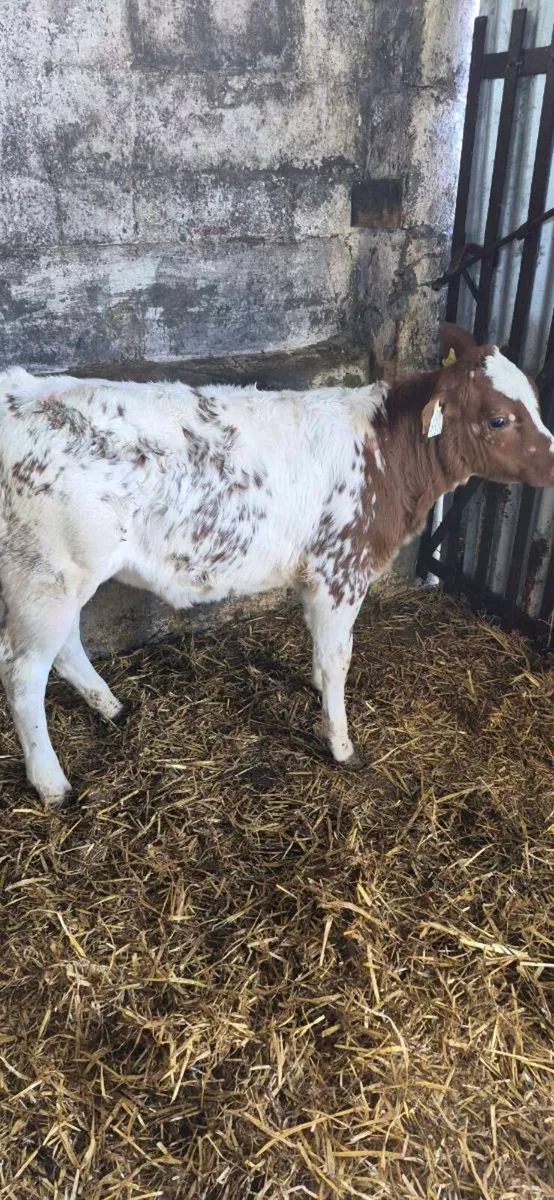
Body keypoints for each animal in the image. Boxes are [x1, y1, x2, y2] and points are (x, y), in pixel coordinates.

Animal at [0, 322, 553, 805]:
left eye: (535, 399)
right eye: (499, 419)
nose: (552, 462)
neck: (385, 451)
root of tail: (21, 388)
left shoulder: (316, 573)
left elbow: (322, 651)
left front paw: (318, 693)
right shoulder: (340, 568)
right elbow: (338, 656)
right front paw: (341, 744)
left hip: (61, 576)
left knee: (66, 646)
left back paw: (112, 707)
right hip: (47, 571)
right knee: (24, 672)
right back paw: (52, 784)